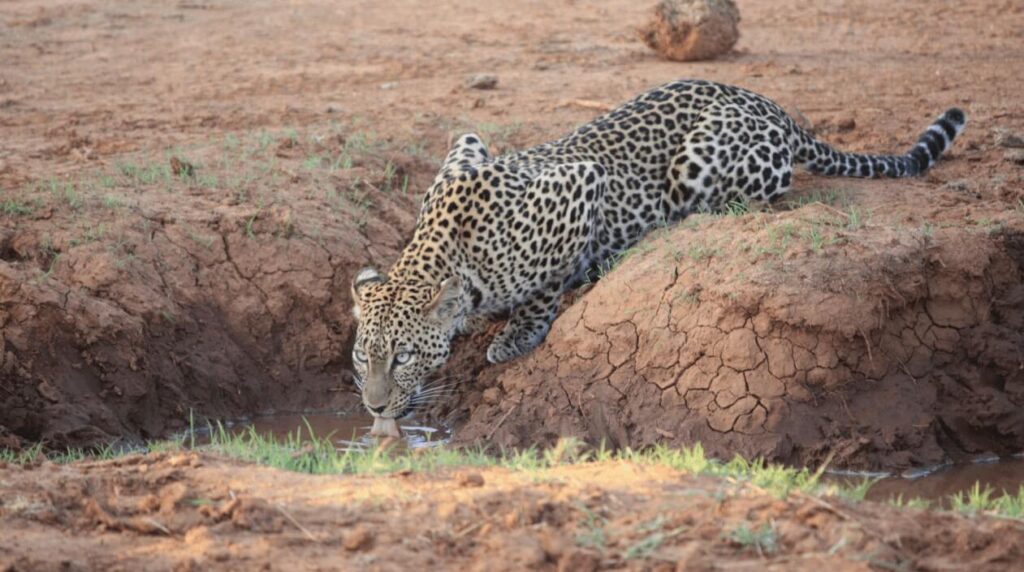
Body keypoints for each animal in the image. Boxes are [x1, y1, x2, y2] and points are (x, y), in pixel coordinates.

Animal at [348, 78, 962, 425]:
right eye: (361, 356)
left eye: (403, 357)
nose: (373, 408)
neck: (443, 249)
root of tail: (773, 107)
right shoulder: (468, 143)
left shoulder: (581, 182)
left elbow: (544, 286)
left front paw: (517, 333)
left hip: (703, 160)